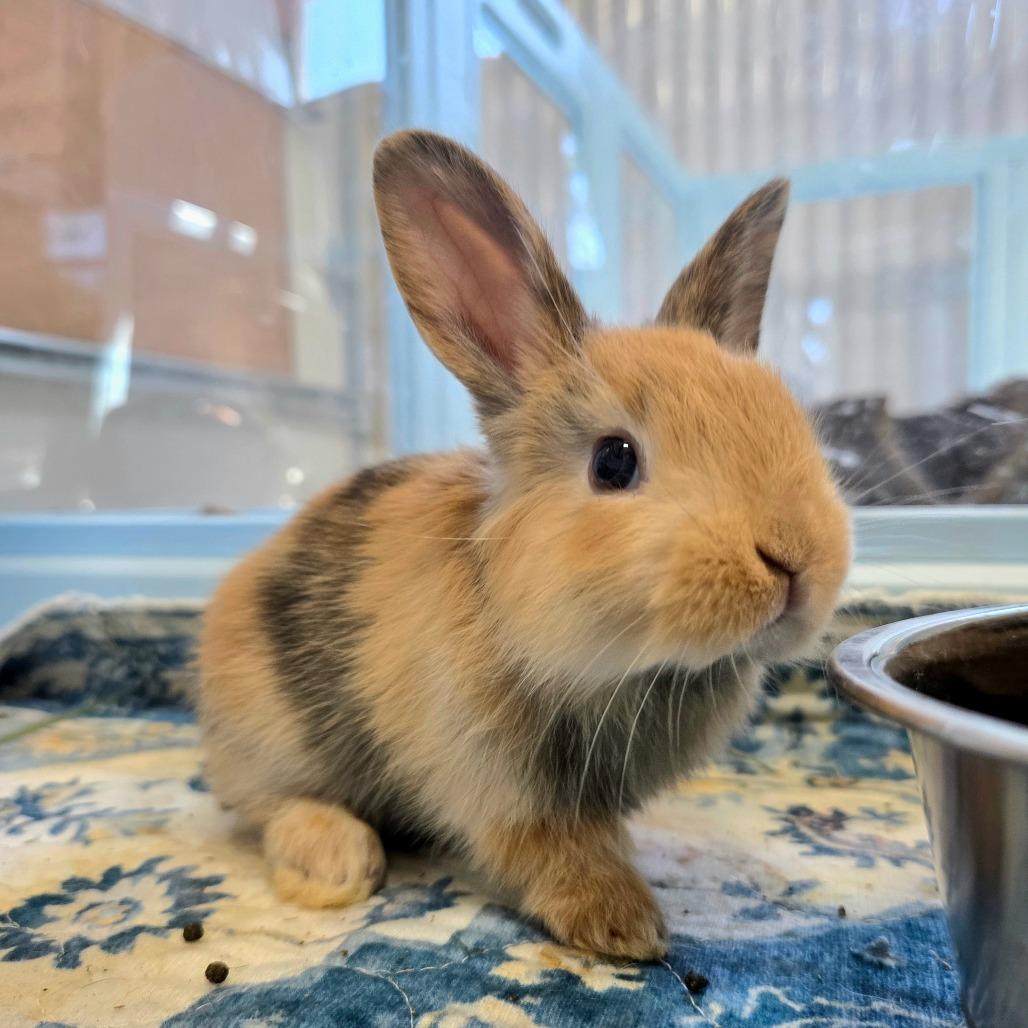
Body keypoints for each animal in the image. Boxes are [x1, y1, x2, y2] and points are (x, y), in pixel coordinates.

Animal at [198, 129, 851, 961]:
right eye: (614, 462)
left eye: (787, 418)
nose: (795, 562)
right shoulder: (499, 783)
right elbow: (550, 849)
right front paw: (622, 924)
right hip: (270, 742)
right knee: (268, 807)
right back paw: (335, 863)